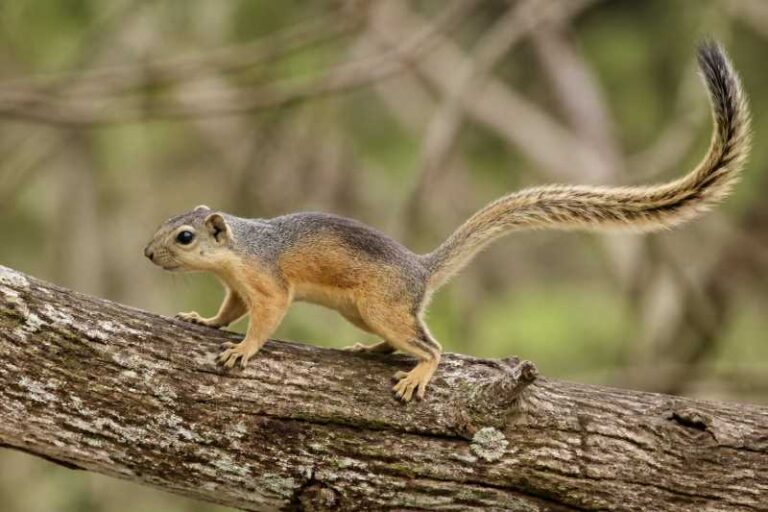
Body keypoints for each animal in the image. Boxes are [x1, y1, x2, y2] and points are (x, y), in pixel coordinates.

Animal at [145, 42, 749, 402]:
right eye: (172, 223)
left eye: (185, 236)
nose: (149, 255)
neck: (240, 249)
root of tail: (421, 270)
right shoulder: (238, 285)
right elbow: (229, 311)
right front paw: (203, 320)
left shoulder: (267, 283)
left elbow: (264, 319)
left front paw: (242, 349)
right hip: (368, 312)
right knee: (405, 339)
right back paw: (370, 352)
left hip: (380, 305)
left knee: (432, 347)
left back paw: (417, 373)